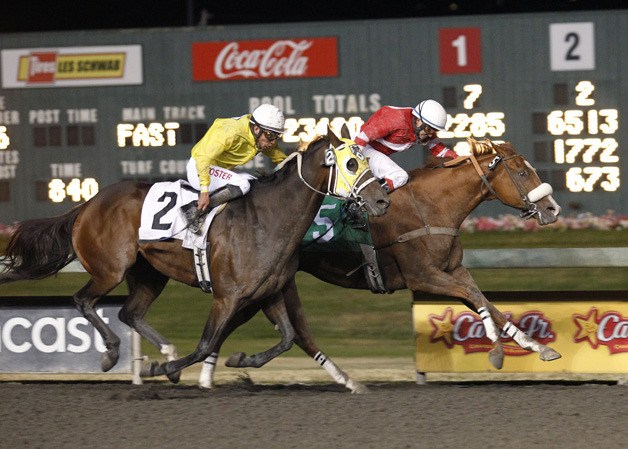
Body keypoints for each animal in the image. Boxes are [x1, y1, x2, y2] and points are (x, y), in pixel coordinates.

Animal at [0, 128, 388, 380]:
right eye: (351, 165)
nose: (382, 200)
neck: (269, 219)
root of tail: (88, 203)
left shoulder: (270, 291)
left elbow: (289, 337)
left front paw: (240, 360)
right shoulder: (226, 297)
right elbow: (205, 344)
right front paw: (164, 370)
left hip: (149, 274)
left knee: (128, 312)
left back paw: (163, 350)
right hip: (110, 269)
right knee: (83, 300)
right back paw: (113, 352)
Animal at [199, 136, 560, 388]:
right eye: (521, 172)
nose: (552, 209)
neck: (430, 207)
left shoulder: (451, 271)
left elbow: (487, 303)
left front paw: (537, 346)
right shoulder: (423, 276)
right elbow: (478, 299)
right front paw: (498, 354)